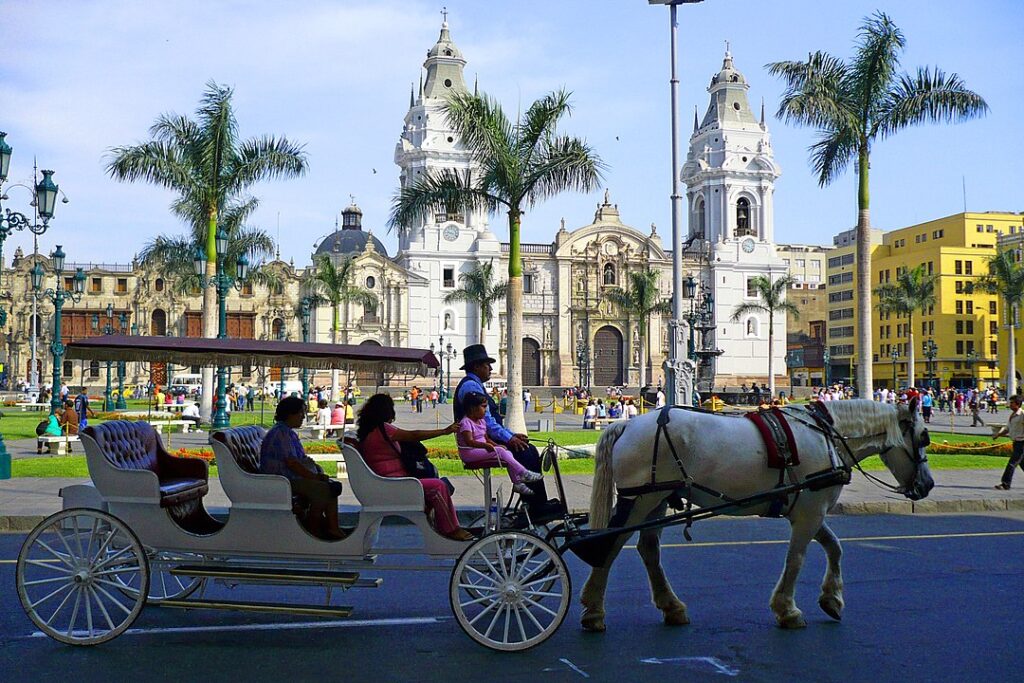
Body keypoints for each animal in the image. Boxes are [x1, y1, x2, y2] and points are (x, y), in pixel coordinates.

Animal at [581, 401, 933, 630]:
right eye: (923, 438)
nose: (928, 484)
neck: (827, 436)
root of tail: (627, 423)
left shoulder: (809, 508)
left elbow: (835, 547)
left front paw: (832, 599)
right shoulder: (809, 513)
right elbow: (796, 559)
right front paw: (787, 610)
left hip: (657, 500)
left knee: (648, 550)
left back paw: (672, 607)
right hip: (641, 499)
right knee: (610, 546)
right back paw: (594, 611)